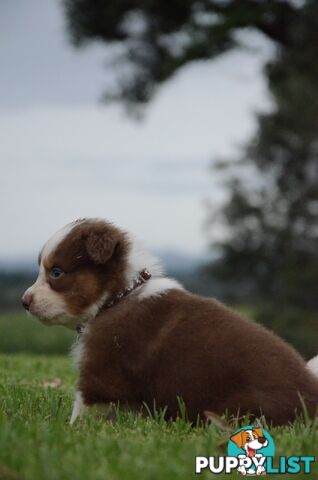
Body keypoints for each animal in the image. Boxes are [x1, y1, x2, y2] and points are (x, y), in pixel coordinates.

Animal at [22, 219, 318, 426]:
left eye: (56, 273)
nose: (24, 301)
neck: (117, 296)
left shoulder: (103, 367)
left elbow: (83, 404)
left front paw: (69, 429)